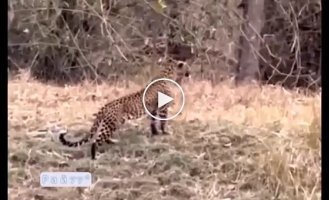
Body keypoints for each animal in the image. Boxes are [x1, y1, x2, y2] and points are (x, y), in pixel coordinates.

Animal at [56, 58, 190, 160]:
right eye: (187, 68)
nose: (190, 73)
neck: (168, 73)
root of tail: (106, 106)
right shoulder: (163, 108)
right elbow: (163, 121)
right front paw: (164, 132)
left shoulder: (152, 109)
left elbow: (152, 122)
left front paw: (155, 133)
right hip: (111, 123)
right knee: (96, 140)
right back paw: (94, 157)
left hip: (113, 122)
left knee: (102, 136)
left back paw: (112, 142)